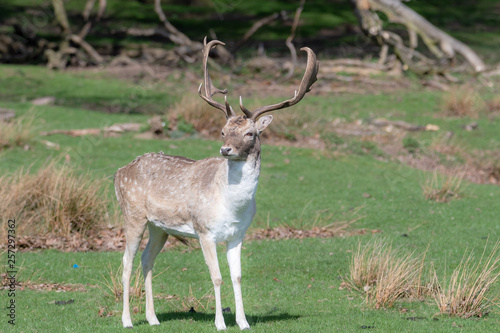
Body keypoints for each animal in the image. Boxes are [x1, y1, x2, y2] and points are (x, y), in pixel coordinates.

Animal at [114, 37, 318, 328]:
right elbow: (217, 277)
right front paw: (220, 323)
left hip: (159, 227)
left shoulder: (238, 234)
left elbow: (237, 276)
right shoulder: (204, 231)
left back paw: (153, 318)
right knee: (126, 262)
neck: (230, 206)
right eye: (223, 131)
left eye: (251, 133)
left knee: (146, 259)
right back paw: (127, 320)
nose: (225, 150)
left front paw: (243, 322)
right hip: (132, 214)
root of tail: (120, 172)